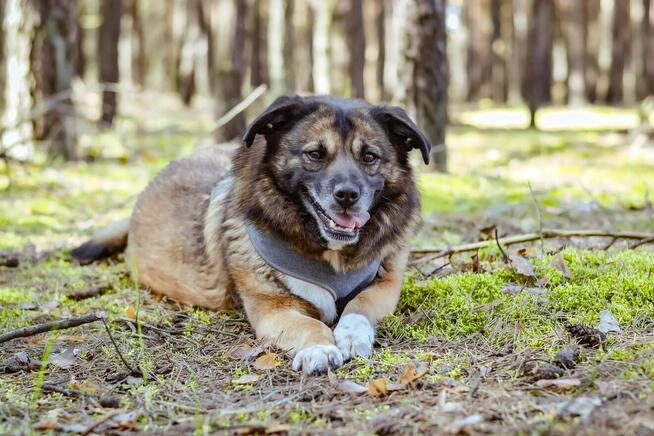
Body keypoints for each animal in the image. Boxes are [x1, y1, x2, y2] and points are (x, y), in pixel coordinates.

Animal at [73, 96, 430, 374]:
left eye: (369, 157)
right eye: (315, 154)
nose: (347, 195)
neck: (330, 253)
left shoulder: (385, 286)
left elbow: (359, 304)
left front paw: (352, 336)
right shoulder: (272, 309)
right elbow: (309, 324)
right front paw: (319, 348)